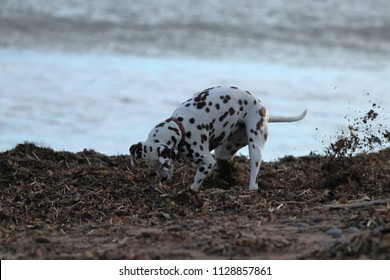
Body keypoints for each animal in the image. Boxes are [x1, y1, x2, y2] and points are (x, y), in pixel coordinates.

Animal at [131, 85, 308, 190]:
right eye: (152, 167)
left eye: (163, 164)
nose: (163, 179)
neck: (181, 127)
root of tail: (265, 111)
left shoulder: (207, 162)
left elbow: (195, 182)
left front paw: (191, 191)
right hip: (225, 149)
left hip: (255, 148)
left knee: (254, 173)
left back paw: (252, 187)